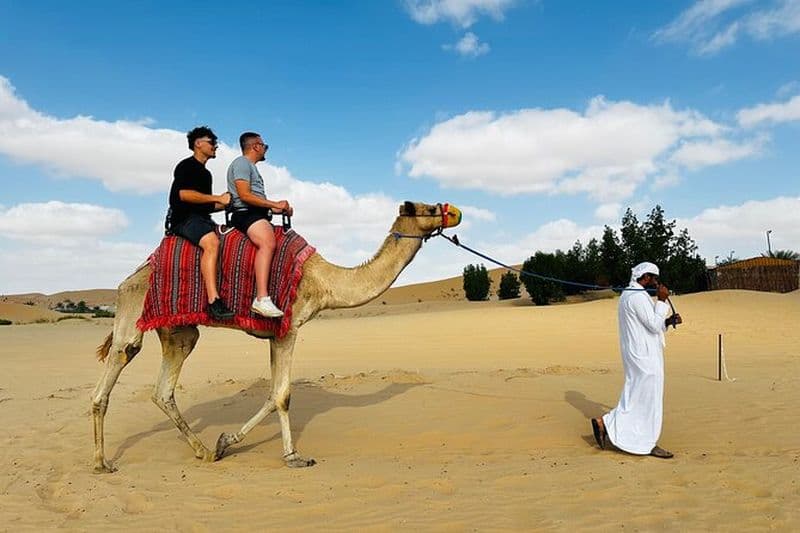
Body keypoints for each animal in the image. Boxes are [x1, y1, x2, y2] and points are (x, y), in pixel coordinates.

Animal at [91, 201, 462, 473]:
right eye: (430, 208)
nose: (456, 212)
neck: (322, 280)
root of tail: (129, 278)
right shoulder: (289, 327)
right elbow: (282, 395)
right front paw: (293, 457)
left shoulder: (274, 334)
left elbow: (273, 394)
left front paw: (224, 442)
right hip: (133, 312)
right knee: (118, 363)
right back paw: (101, 463)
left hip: (179, 331)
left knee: (163, 390)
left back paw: (204, 452)